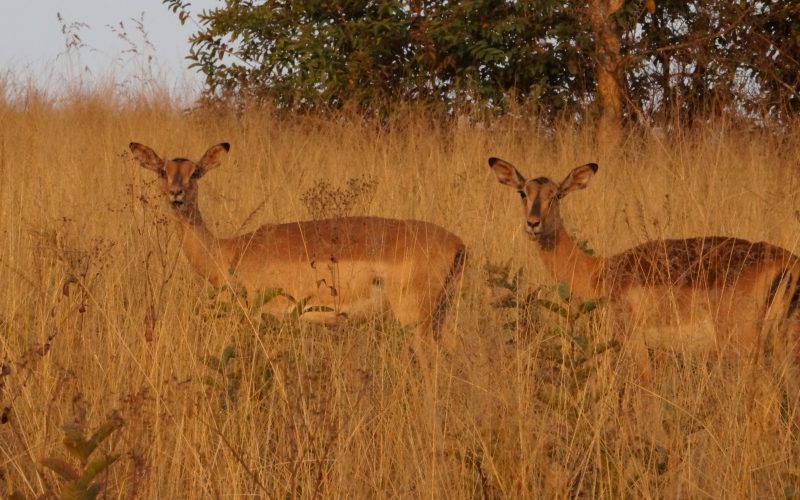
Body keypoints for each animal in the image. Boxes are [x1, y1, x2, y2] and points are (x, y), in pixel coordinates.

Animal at [128, 142, 466, 356]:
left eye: (196, 172)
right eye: (162, 171)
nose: (176, 194)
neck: (229, 252)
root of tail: (458, 244)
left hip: (415, 320)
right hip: (441, 316)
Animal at [488, 156, 800, 378]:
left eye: (556, 195)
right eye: (523, 193)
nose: (533, 224)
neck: (597, 272)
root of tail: (788, 262)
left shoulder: (633, 341)